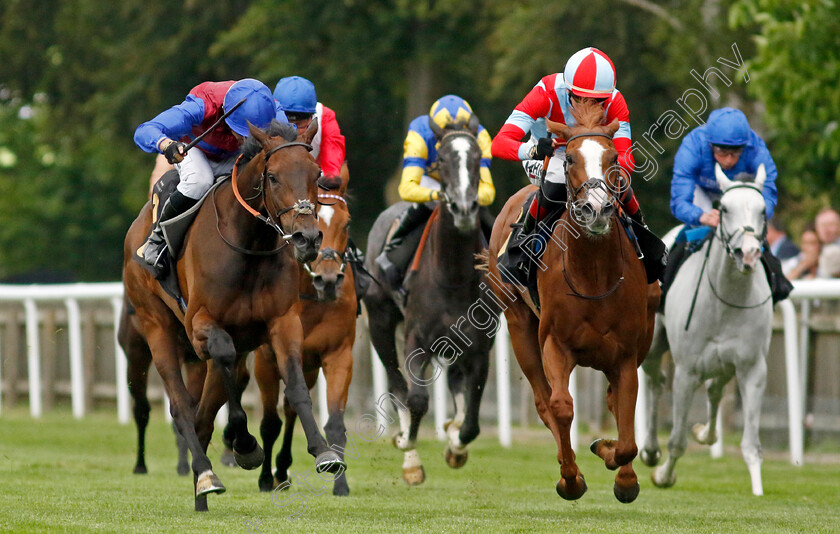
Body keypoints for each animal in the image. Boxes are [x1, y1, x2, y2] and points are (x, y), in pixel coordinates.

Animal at [120, 119, 342, 512]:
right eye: (273, 177)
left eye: (316, 174)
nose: (307, 238)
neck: (249, 244)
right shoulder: (201, 326)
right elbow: (224, 365)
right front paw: (245, 445)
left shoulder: (283, 323)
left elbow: (295, 385)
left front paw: (322, 451)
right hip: (154, 327)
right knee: (182, 406)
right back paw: (206, 476)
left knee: (205, 412)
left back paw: (201, 490)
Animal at [249, 173, 354, 498]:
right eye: (317, 217)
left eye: (346, 223)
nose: (329, 280)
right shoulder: (266, 360)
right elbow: (269, 423)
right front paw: (264, 479)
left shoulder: (339, 355)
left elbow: (335, 422)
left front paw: (340, 481)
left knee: (291, 408)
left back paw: (283, 469)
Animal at [364, 115, 496, 488]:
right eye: (444, 160)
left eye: (478, 158)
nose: (464, 207)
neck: (452, 275)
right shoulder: (416, 339)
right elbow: (417, 399)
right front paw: (407, 445)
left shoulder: (480, 347)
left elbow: (471, 422)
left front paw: (455, 445)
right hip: (379, 322)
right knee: (397, 385)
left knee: (454, 387)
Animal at [486, 101, 656, 506]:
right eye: (571, 159)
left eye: (613, 158)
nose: (596, 209)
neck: (593, 273)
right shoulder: (555, 343)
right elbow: (561, 406)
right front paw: (570, 478)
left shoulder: (627, 353)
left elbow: (626, 424)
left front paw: (622, 473)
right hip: (519, 326)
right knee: (543, 400)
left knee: (612, 401)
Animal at [644, 164, 776, 498]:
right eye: (724, 208)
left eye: (763, 209)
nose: (748, 253)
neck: (725, 299)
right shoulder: (686, 371)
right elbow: (676, 440)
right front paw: (663, 475)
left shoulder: (752, 368)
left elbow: (751, 444)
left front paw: (758, 489)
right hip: (654, 345)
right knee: (654, 381)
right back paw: (649, 450)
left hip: (726, 364)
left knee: (715, 389)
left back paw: (705, 433)